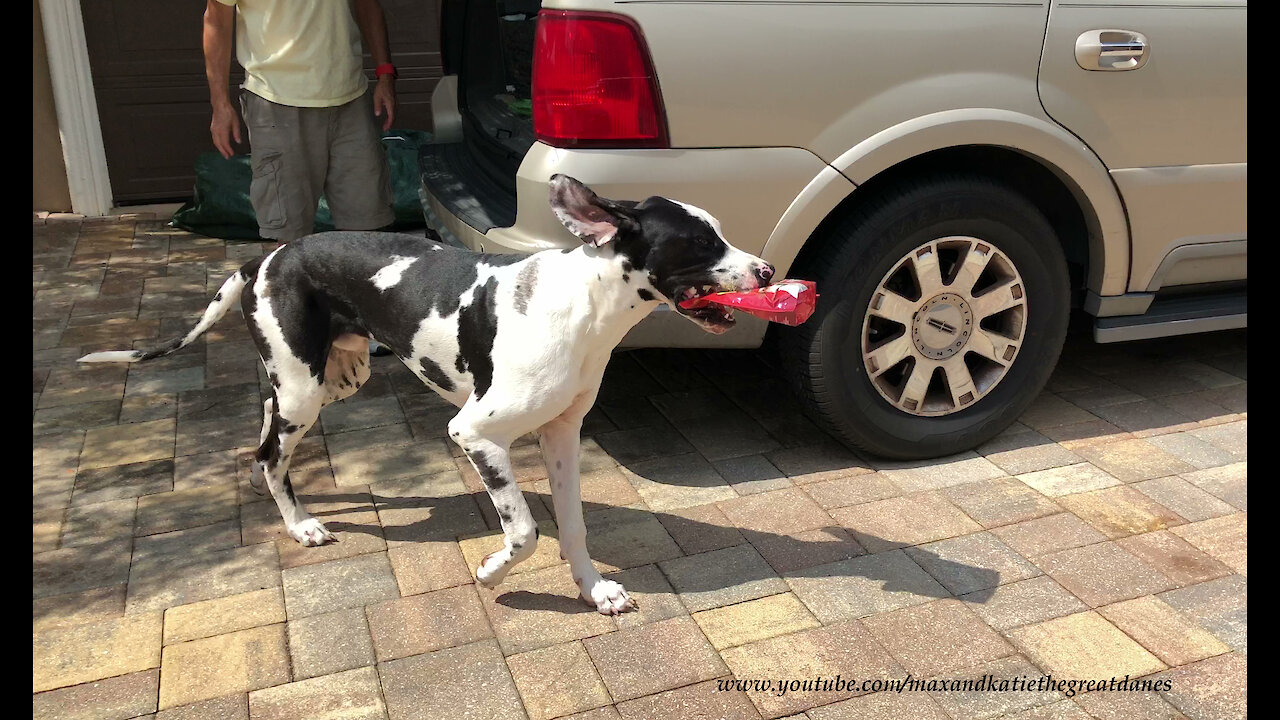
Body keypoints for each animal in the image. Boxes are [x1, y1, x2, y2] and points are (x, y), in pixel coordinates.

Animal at [87, 176, 778, 614]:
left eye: (720, 233)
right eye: (699, 242)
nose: (769, 270)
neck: (580, 307)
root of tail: (265, 260)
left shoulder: (562, 436)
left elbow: (573, 525)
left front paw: (592, 589)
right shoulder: (475, 434)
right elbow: (524, 530)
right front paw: (494, 571)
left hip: (331, 380)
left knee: (265, 421)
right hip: (308, 391)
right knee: (271, 455)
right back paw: (301, 525)